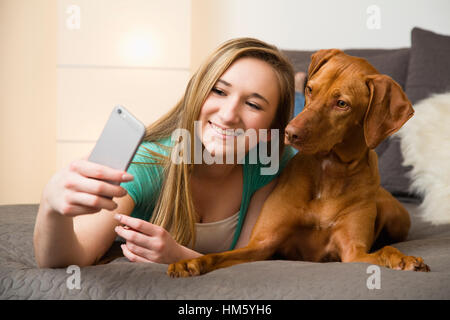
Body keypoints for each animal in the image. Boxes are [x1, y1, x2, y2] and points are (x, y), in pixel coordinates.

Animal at [167, 48, 430, 276]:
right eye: (311, 89)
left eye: (342, 104)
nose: (289, 132)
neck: (329, 171)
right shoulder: (261, 244)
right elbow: (217, 256)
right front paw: (190, 263)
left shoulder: (354, 252)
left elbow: (385, 251)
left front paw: (403, 259)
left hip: (396, 216)